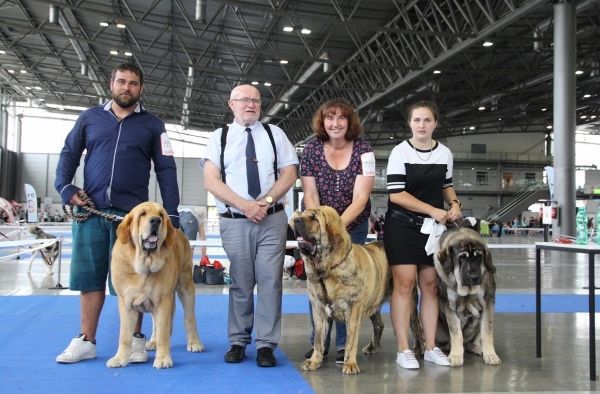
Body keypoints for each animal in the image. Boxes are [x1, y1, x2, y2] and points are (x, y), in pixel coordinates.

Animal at [106, 203, 204, 370]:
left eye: (161, 215)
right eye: (142, 214)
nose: (155, 221)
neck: (145, 263)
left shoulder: (163, 301)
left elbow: (163, 333)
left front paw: (163, 358)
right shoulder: (126, 303)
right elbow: (125, 335)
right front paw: (119, 359)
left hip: (186, 288)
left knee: (190, 318)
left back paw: (194, 343)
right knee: (155, 325)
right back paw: (152, 341)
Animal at [292, 206, 394, 376]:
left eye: (314, 218)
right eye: (302, 214)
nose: (295, 220)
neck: (329, 269)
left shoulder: (353, 311)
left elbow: (350, 340)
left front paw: (350, 364)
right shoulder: (319, 310)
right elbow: (319, 339)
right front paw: (314, 361)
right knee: (379, 324)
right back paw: (372, 347)